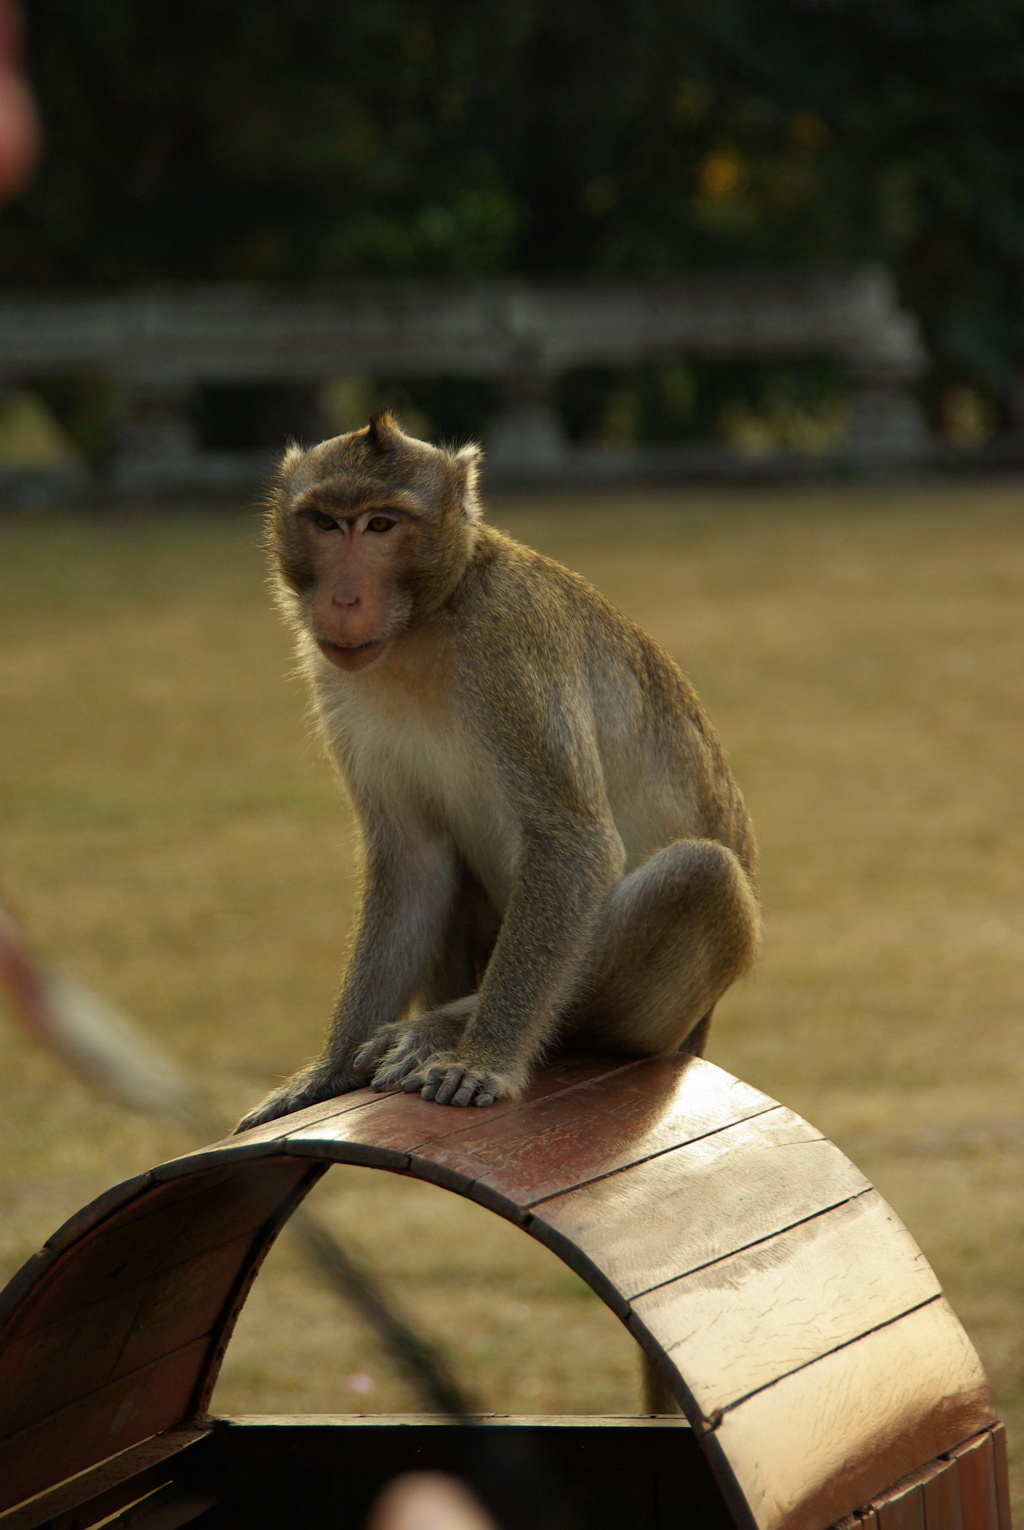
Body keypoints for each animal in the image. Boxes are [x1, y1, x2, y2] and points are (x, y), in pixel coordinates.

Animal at [234, 413, 759, 1132]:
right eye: (326, 523)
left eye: (381, 525)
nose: (342, 598)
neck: (426, 623)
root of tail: (701, 1029)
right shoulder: (337, 682)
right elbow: (415, 858)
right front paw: (329, 1071)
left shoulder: (509, 644)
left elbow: (574, 846)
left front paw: (480, 1059)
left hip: (660, 1021)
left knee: (701, 872)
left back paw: (442, 1028)